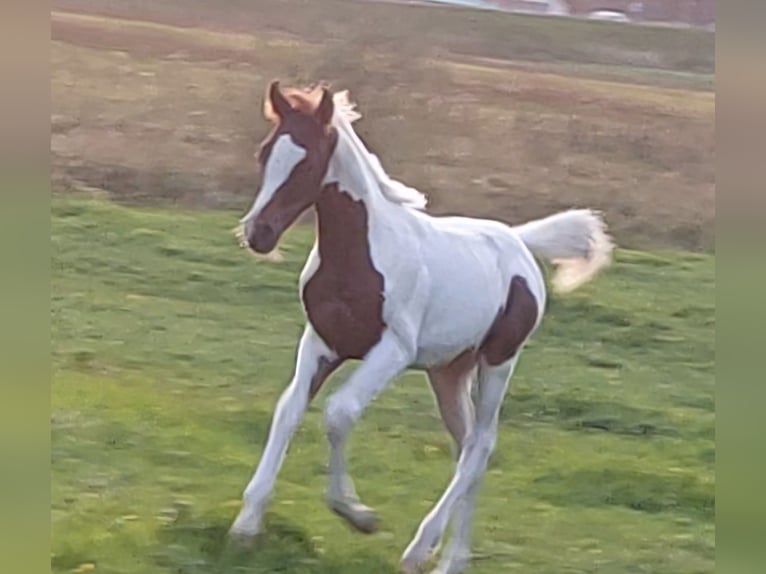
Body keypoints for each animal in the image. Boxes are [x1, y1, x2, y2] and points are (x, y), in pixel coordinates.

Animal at [230, 81, 613, 574]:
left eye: (309, 161)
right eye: (264, 153)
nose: (258, 234)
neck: (359, 255)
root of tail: (518, 240)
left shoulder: (393, 350)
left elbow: (339, 413)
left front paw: (358, 514)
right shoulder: (321, 342)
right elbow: (288, 411)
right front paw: (246, 524)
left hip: (498, 361)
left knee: (482, 445)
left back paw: (421, 550)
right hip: (448, 371)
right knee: (466, 446)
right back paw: (452, 559)